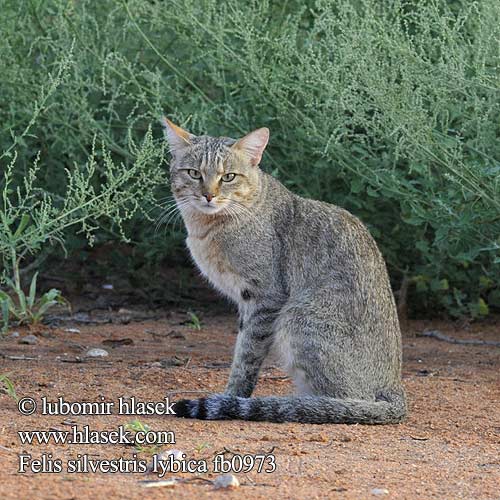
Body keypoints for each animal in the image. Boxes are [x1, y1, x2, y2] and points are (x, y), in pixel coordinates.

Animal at [164, 118, 406, 426]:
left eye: (228, 177)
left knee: (349, 402)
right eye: (194, 173)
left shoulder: (265, 297)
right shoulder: (245, 302)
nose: (208, 195)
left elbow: (246, 356)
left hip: (298, 316)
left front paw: (232, 397)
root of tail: (395, 388)